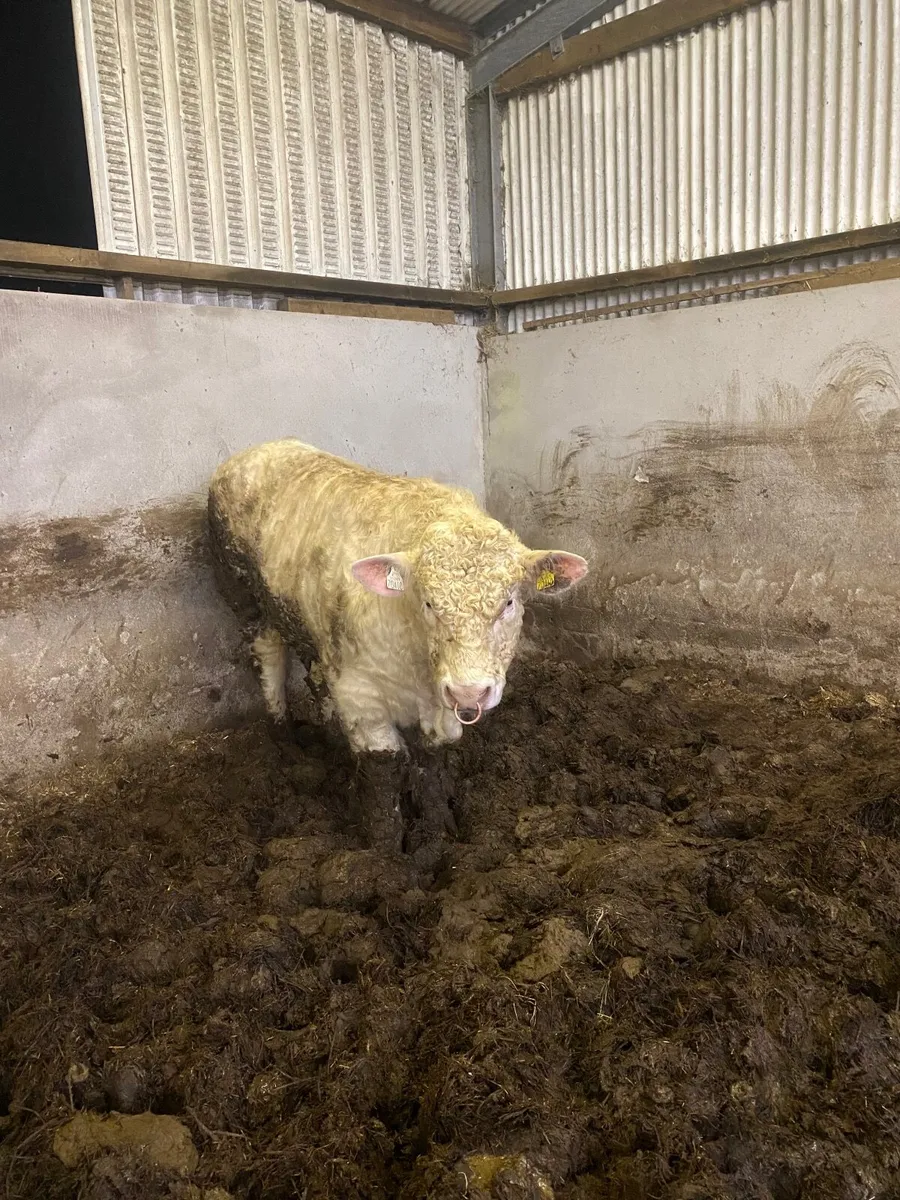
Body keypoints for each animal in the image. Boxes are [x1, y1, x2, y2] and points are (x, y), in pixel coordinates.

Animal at [208, 439, 588, 758]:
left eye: (508, 603)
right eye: (429, 603)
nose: (468, 694)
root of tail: (256, 450)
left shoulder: (439, 713)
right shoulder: (361, 702)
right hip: (242, 594)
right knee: (269, 657)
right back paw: (283, 737)